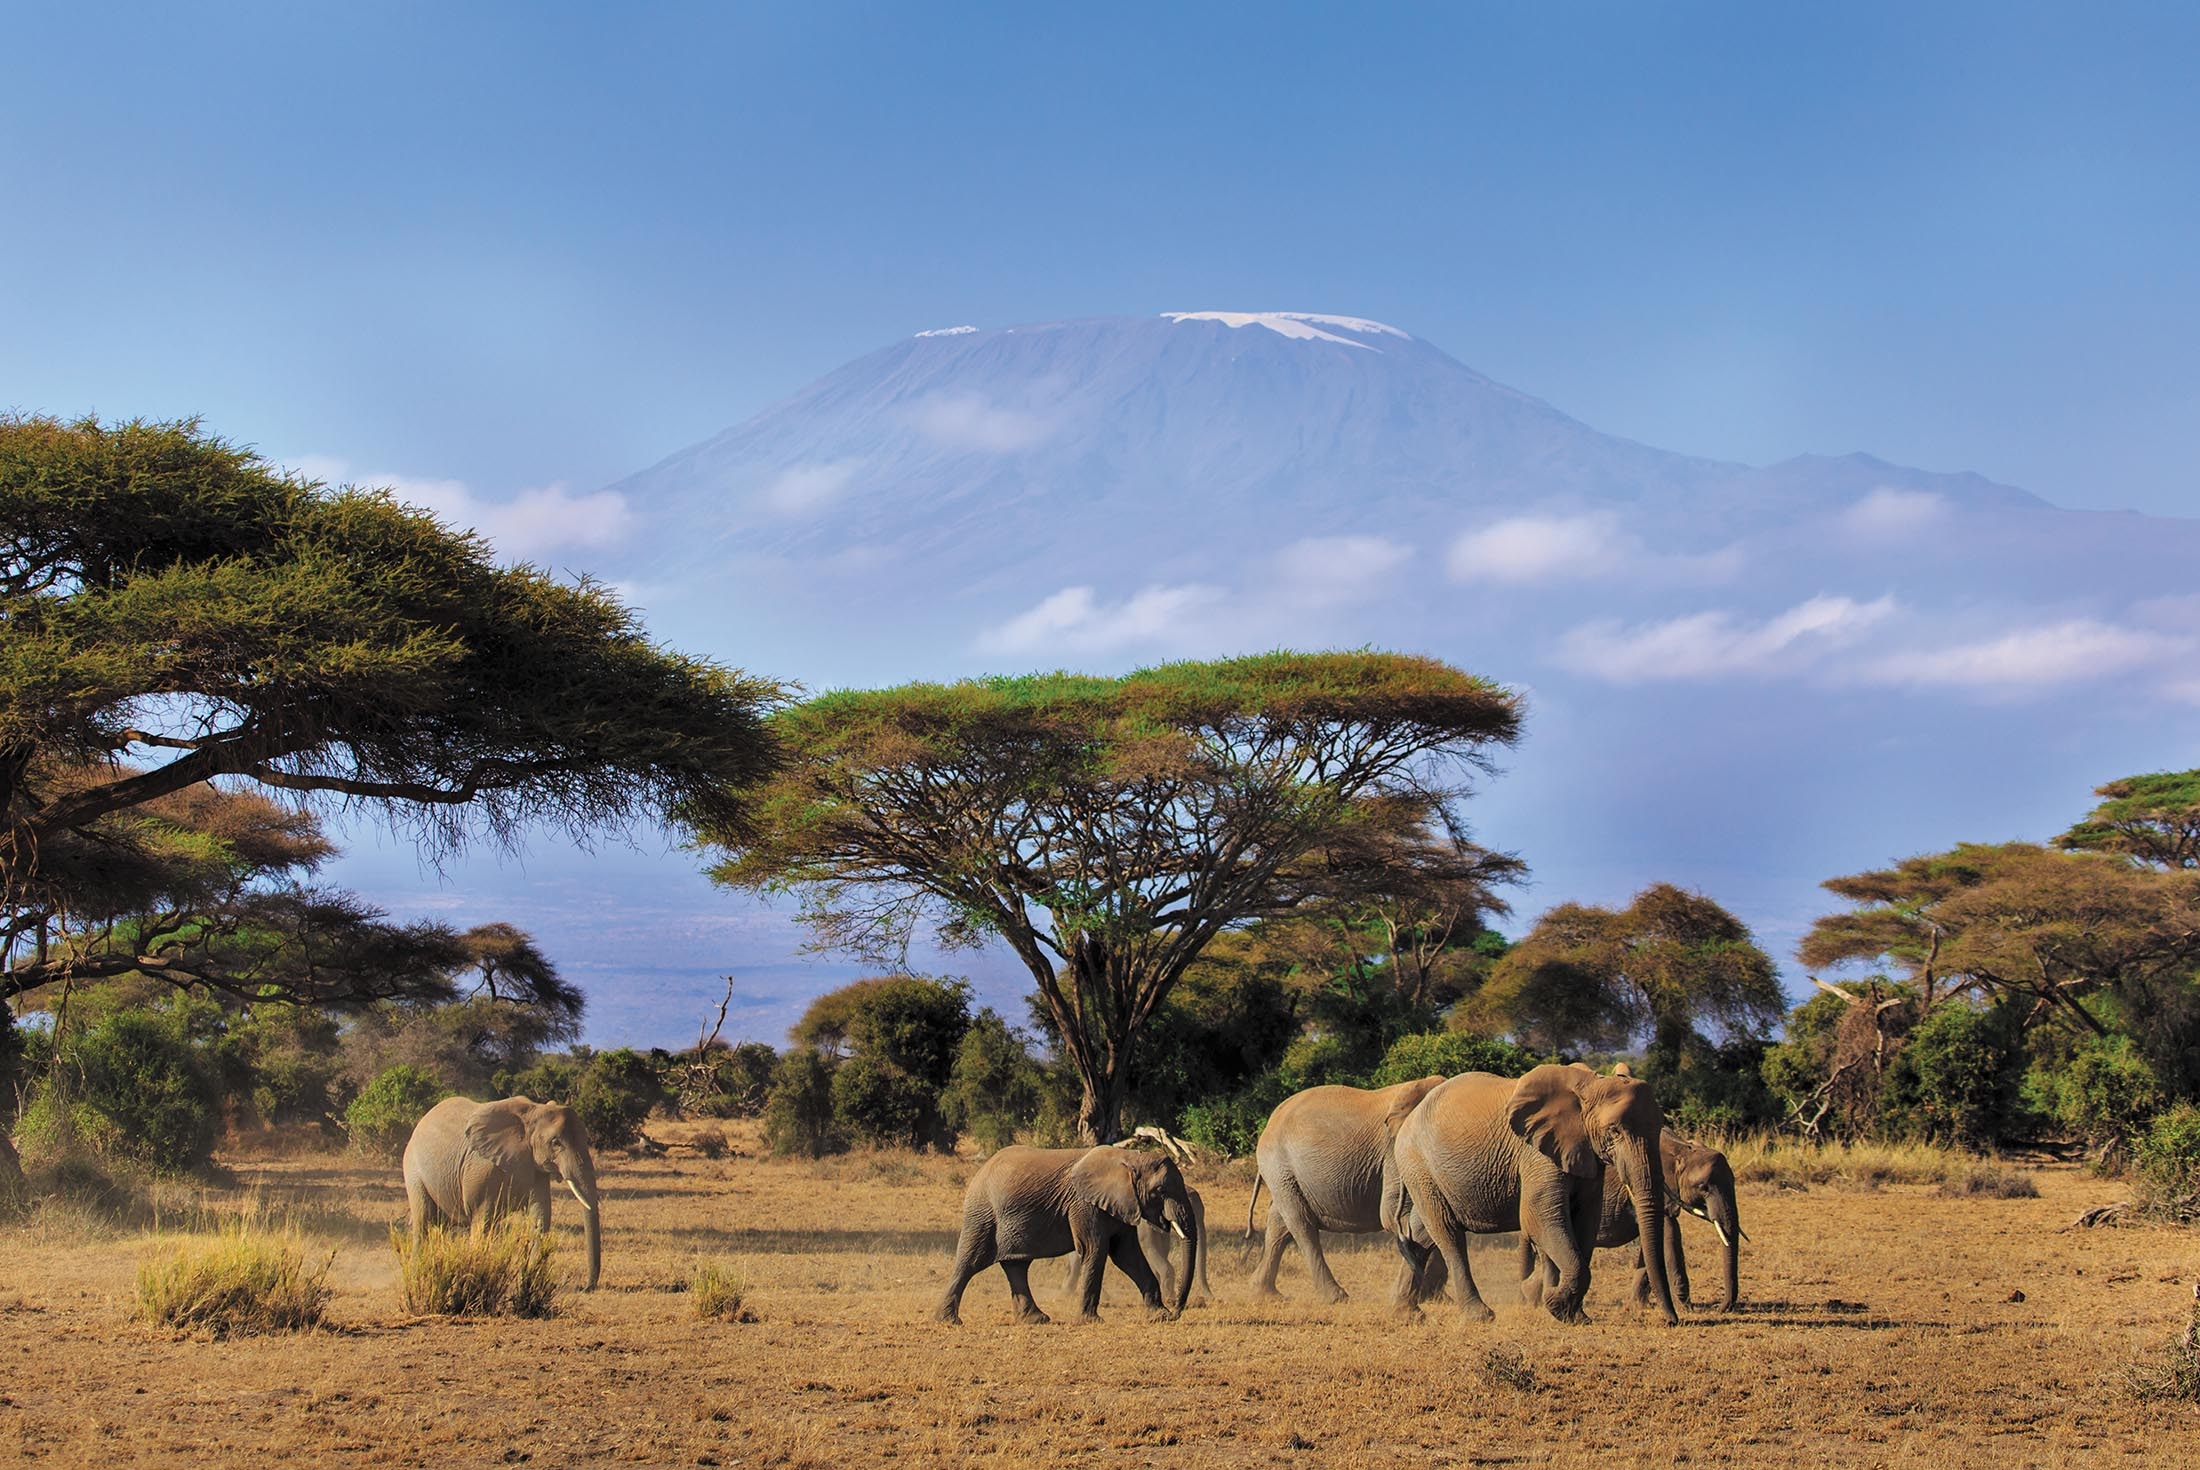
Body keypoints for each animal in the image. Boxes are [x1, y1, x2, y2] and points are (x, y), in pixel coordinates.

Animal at [402, 1096, 603, 1290]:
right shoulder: (482, 1170)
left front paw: (528, 1284)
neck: (533, 1111)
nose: (585, 1288)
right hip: (413, 1169)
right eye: (555, 1142)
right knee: (423, 1222)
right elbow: (482, 1222)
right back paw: (417, 1280)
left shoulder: (535, 1167)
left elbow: (540, 1216)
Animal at [936, 1144, 1198, 1325]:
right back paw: (948, 1321)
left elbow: (1127, 1255)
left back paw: (1036, 1320)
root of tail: (980, 1170)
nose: (1177, 1309)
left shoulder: (1121, 1203)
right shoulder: (1084, 1204)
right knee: (970, 1262)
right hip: (982, 1214)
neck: (1130, 1157)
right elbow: (1095, 1249)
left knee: (1016, 1265)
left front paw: (1160, 1316)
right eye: (1160, 1190)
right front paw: (1091, 1321)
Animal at [1246, 1077, 1448, 1303]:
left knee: (1279, 1224)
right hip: (1279, 1167)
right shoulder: (1395, 1152)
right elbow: (1396, 1214)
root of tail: (1270, 1122)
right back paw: (1336, 1297)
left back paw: (1263, 1292)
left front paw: (1434, 1297)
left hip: (1285, 1175)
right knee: (1301, 1223)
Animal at [1387, 1064, 1679, 1325]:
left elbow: (1586, 1221)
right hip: (1418, 1164)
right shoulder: (1537, 1154)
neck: (1590, 1085)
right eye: (1614, 1131)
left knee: (1421, 1234)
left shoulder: (1584, 1154)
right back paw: (1480, 1316)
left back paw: (1407, 1314)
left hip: (1424, 1174)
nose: (1671, 1320)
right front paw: (1555, 1305)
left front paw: (1576, 1316)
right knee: (1448, 1234)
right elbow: (1540, 1218)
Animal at [1521, 1129, 1743, 1313]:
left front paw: (1639, 1304)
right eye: (1703, 1187)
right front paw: (1687, 1307)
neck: (1682, 1149)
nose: (1721, 1308)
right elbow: (1670, 1235)